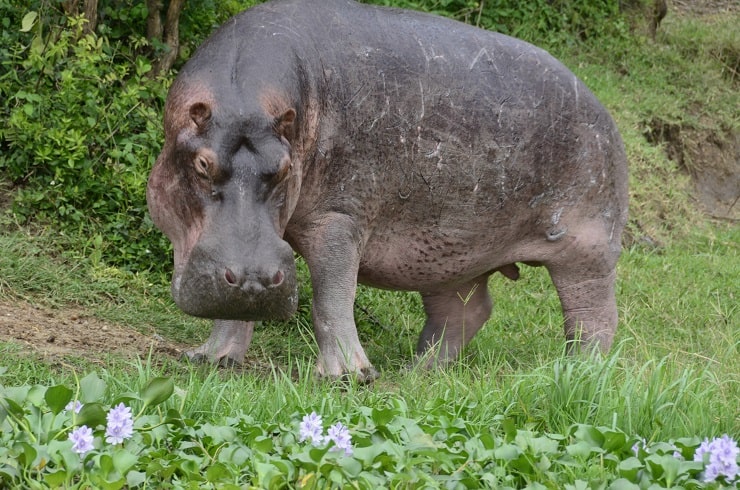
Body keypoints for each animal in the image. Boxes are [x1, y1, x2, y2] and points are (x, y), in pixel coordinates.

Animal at [147, 0, 628, 380]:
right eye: (202, 164)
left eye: (284, 170)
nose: (254, 278)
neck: (247, 102)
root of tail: (603, 109)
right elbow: (235, 309)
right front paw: (211, 360)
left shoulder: (339, 216)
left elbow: (332, 296)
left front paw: (349, 376)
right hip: (453, 252)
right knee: (464, 310)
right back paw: (420, 371)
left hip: (586, 248)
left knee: (593, 317)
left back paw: (579, 373)